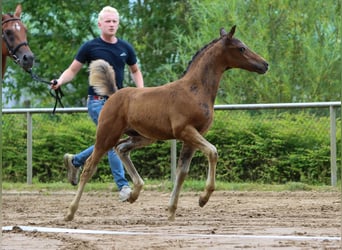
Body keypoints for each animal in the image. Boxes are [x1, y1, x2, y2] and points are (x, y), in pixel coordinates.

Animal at [63, 24, 268, 221]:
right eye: (241, 48)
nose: (265, 64)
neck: (195, 90)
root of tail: (113, 95)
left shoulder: (193, 137)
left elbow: (182, 172)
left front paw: (171, 211)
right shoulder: (185, 131)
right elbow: (212, 152)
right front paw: (203, 198)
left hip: (144, 137)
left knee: (121, 149)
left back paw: (134, 193)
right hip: (107, 134)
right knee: (90, 166)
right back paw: (70, 212)